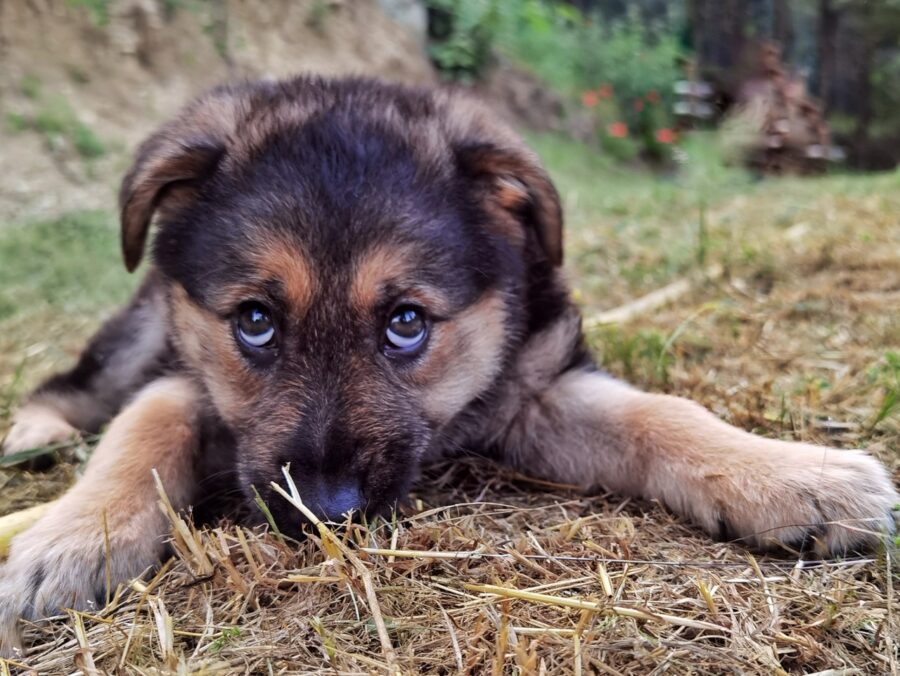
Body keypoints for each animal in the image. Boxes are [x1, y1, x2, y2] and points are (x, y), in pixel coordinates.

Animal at [1, 76, 900, 652]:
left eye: (406, 323)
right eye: (254, 321)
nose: (325, 513)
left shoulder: (537, 386)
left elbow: (662, 414)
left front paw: (793, 477)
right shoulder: (187, 373)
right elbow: (143, 426)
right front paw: (67, 540)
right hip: (142, 324)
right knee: (79, 385)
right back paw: (32, 433)